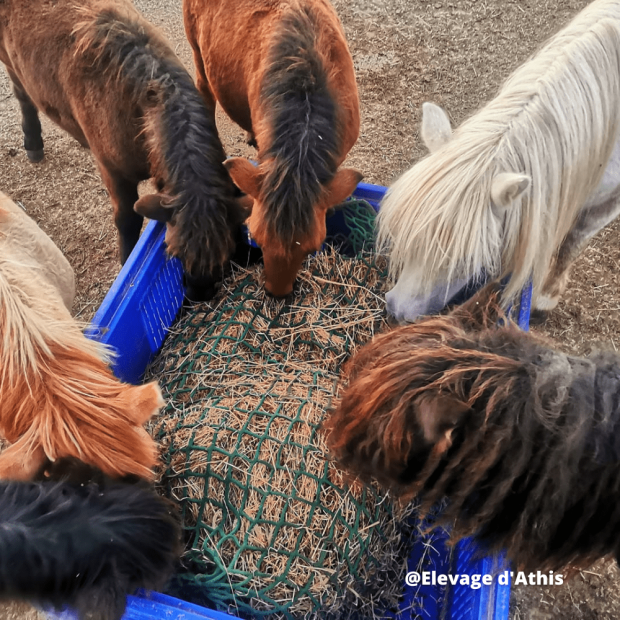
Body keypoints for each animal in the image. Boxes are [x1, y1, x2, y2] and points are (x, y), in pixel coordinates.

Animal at [0, 0, 247, 300]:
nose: (198, 293)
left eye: (225, 253)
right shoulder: (114, 174)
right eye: (173, 252)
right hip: (10, 64)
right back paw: (33, 142)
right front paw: (127, 261)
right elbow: (128, 220)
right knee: (23, 96)